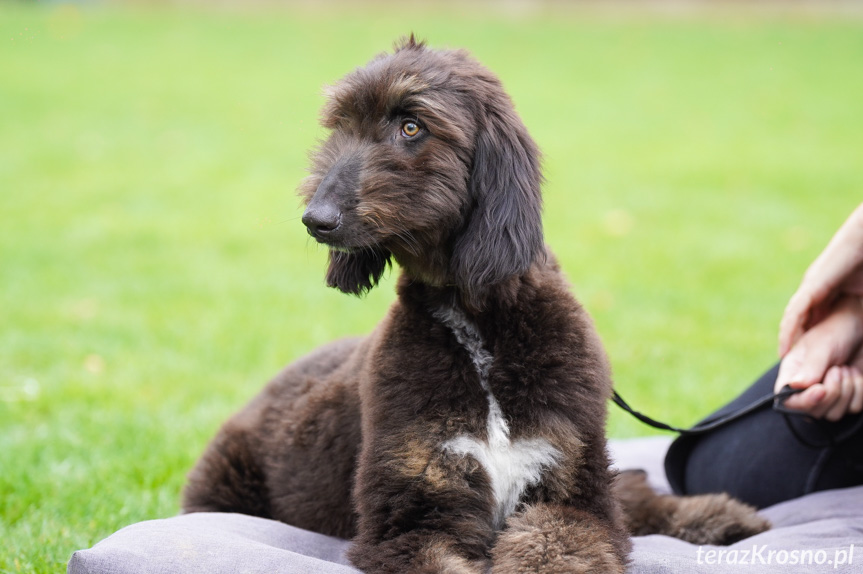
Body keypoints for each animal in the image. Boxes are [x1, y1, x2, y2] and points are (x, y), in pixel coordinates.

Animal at [184, 38, 768, 572]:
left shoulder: (571, 492)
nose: (316, 219)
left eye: (412, 126)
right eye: (340, 126)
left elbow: (564, 540)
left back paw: (722, 516)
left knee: (634, 493)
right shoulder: (413, 516)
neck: (477, 328)